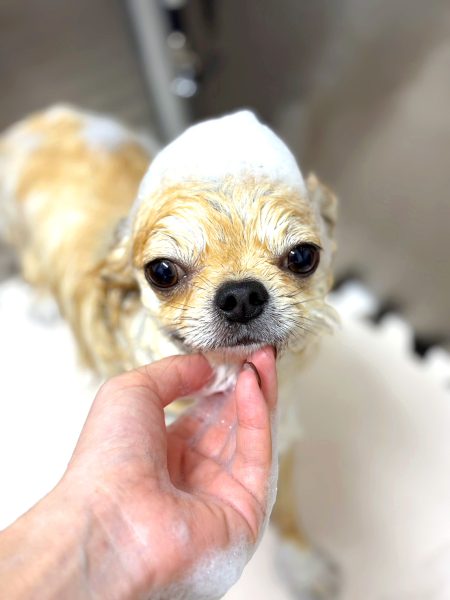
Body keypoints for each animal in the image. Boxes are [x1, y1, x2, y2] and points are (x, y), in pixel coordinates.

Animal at [0, 105, 338, 596]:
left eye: (302, 256)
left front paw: (304, 564)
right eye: (162, 271)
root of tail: (45, 118)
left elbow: (289, 508)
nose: (241, 295)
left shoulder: (284, 431)